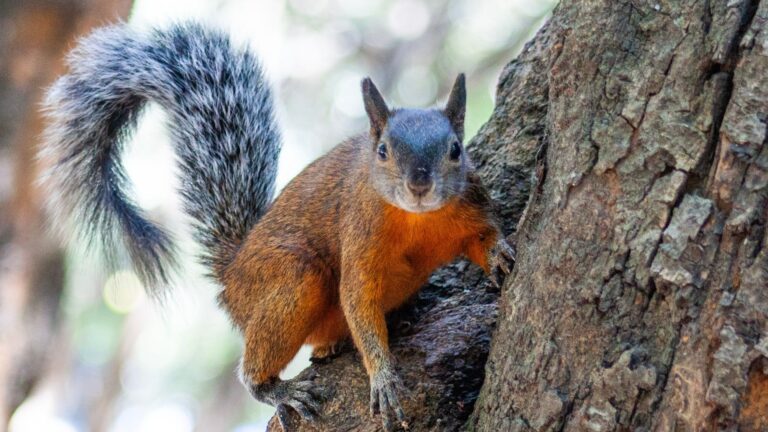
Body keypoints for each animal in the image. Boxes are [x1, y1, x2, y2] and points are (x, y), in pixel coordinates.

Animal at [41, 23, 515, 431]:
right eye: (382, 151)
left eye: (455, 150)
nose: (419, 185)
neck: (417, 219)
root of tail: (233, 272)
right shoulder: (359, 236)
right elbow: (358, 301)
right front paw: (382, 377)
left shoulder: (471, 205)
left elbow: (484, 236)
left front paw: (500, 256)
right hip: (288, 278)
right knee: (261, 357)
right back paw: (276, 388)